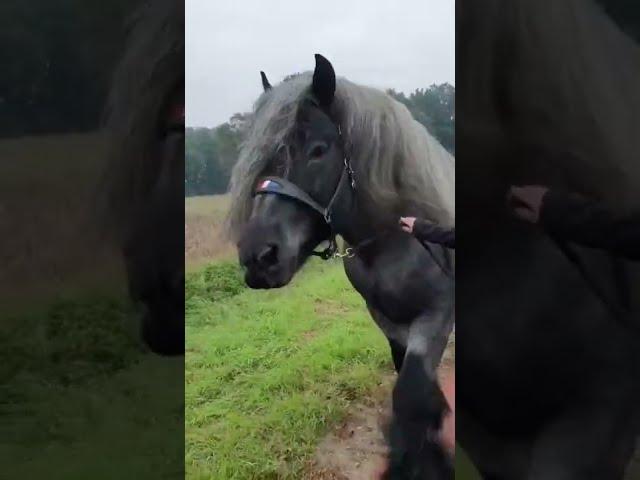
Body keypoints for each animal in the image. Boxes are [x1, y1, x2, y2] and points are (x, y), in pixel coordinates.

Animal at [228, 54, 458, 478]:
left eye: (318, 150)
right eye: (259, 156)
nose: (259, 258)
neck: (392, 239)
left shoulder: (437, 313)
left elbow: (411, 392)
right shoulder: (385, 317)